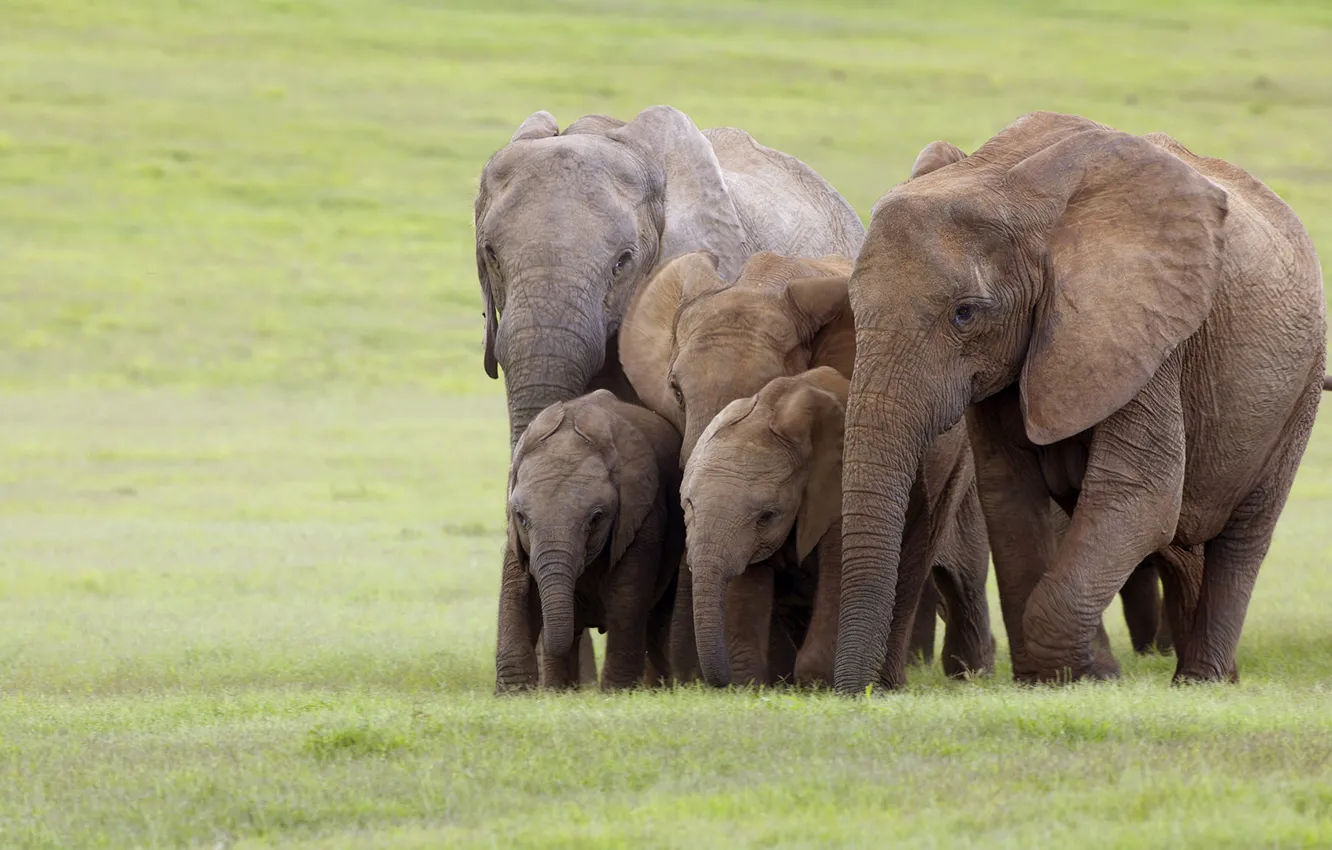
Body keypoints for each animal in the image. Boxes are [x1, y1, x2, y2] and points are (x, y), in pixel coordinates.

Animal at [500, 394, 687, 692]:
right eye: (521, 517)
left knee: (657, 622)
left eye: (596, 518)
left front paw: (617, 693)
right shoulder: (515, 536)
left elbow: (627, 596)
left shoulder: (642, 514)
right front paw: (515, 695)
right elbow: (515, 591)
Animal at [681, 370, 996, 687]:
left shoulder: (839, 488)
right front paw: (748, 686)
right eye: (688, 505)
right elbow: (749, 582)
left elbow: (840, 572)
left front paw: (817, 685)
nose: (716, 681)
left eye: (766, 516)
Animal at [831, 109, 1321, 692]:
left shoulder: (1143, 337)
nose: (859, 695)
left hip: (1299, 388)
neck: (1004, 184)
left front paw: (1076, 676)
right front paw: (1050, 680)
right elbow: (1009, 498)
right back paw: (1215, 679)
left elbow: (1140, 497)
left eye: (965, 314)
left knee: (1244, 535)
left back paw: (1200, 681)